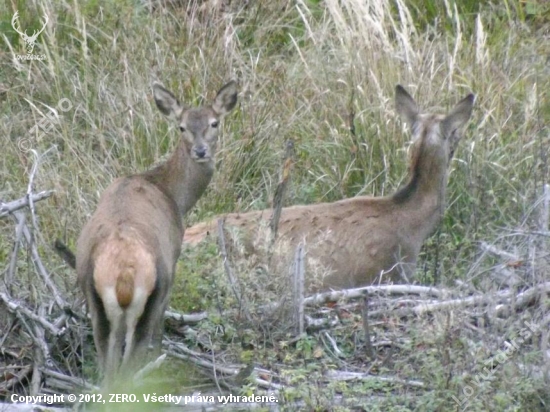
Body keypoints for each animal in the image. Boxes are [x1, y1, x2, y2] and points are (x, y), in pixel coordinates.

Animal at [77, 81, 239, 386]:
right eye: (182, 126)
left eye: (214, 122)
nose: (200, 151)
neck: (172, 194)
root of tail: (123, 274)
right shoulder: (173, 262)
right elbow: (160, 333)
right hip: (153, 288)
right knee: (135, 350)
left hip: (94, 297)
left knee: (108, 360)